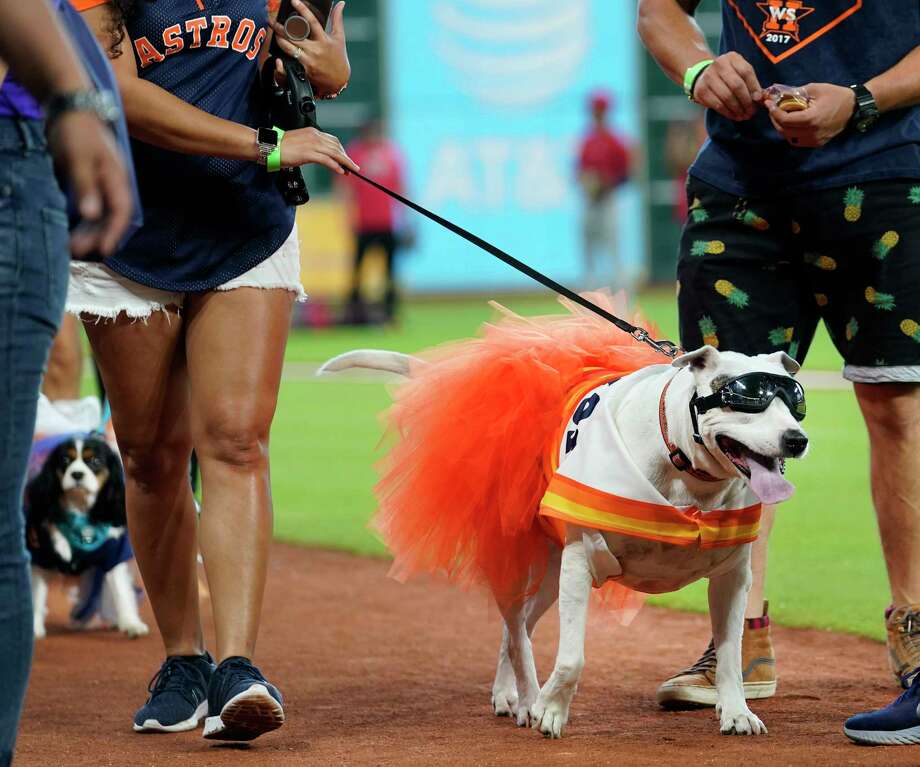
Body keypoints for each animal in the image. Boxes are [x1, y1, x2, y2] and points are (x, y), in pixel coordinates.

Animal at [25, 436, 148, 640]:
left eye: (95, 461)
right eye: (65, 460)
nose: (77, 474)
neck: (80, 509)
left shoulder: (113, 555)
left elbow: (121, 591)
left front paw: (131, 624)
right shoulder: (42, 559)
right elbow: (36, 594)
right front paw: (34, 628)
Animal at [322, 342, 804, 736]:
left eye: (795, 401)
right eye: (745, 397)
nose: (796, 439)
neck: (684, 466)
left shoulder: (732, 579)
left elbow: (731, 656)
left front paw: (736, 712)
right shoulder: (581, 562)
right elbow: (572, 657)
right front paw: (551, 711)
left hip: (551, 577)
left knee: (516, 628)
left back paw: (509, 693)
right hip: (522, 559)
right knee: (517, 629)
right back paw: (530, 699)